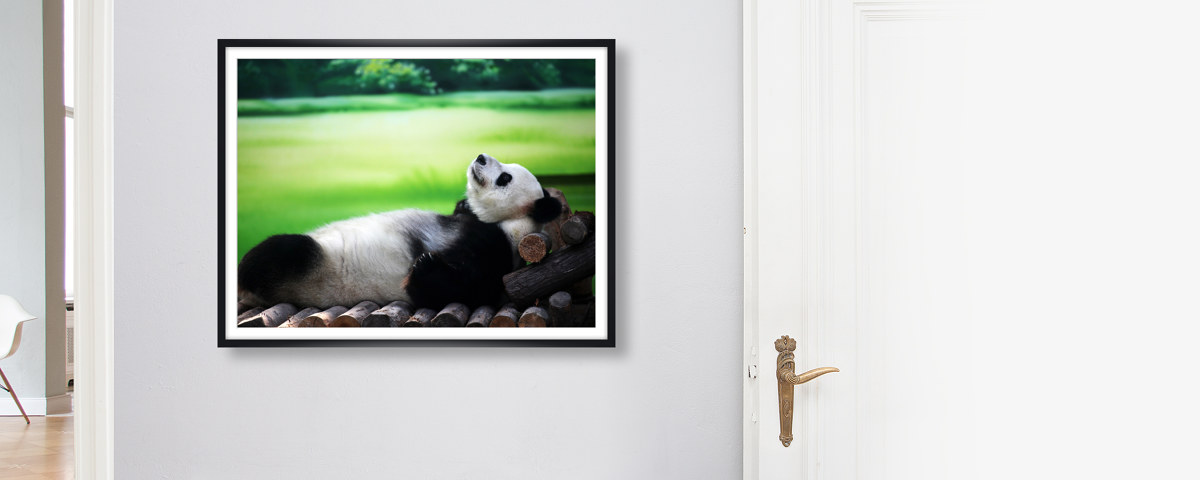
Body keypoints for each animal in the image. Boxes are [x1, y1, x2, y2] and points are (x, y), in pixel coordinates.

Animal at [237, 153, 562, 309]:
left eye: (505, 178)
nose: (480, 157)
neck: (509, 223)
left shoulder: (496, 250)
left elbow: (460, 289)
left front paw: (424, 265)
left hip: (310, 270)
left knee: (280, 251)